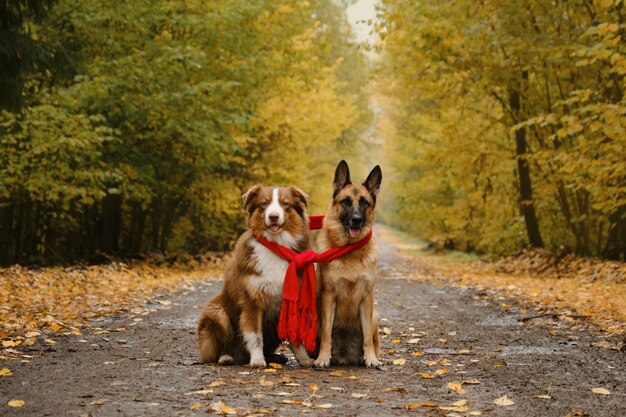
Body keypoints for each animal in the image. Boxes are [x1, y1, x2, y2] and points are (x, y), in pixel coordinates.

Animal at [197, 184, 312, 366]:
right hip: (216, 312)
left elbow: (296, 336)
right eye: (263, 204)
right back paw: (225, 356)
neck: (276, 246)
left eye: (285, 203)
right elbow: (255, 335)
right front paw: (257, 360)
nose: (273, 216)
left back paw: (274, 356)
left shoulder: (294, 299)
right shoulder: (251, 301)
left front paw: (304, 358)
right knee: (215, 352)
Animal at [312, 159, 380, 368]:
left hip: (375, 316)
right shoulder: (328, 297)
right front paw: (323, 358)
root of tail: (344, 357)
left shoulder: (367, 298)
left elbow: (367, 338)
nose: (356, 220)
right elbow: (327, 335)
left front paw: (371, 358)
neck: (350, 252)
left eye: (364, 202)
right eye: (346, 201)